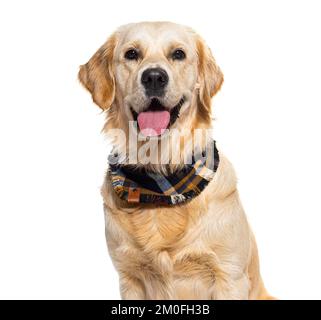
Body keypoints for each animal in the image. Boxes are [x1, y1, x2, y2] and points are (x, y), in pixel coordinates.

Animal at [79, 21, 272, 298]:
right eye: (131, 54)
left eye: (178, 54)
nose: (154, 77)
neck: (161, 182)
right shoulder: (129, 277)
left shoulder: (230, 276)